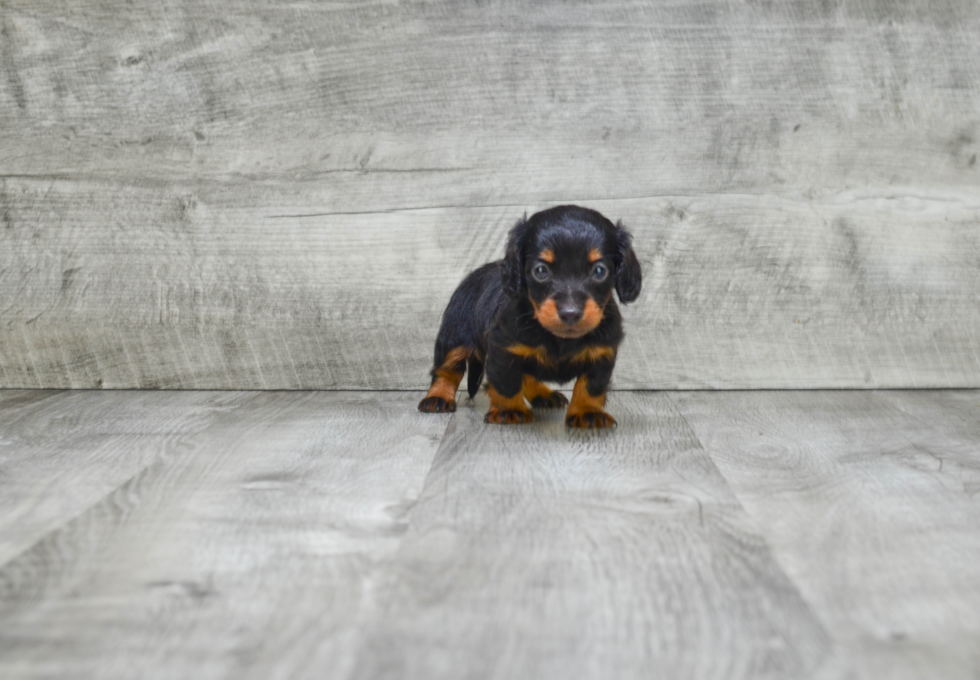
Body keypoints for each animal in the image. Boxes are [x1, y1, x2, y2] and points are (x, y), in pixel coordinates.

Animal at [416, 202, 640, 428]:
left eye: (600, 271)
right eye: (540, 271)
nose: (570, 313)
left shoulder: (602, 352)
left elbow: (591, 386)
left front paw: (588, 411)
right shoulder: (503, 349)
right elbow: (506, 382)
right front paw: (509, 409)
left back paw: (543, 394)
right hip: (455, 336)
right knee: (447, 370)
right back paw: (438, 397)